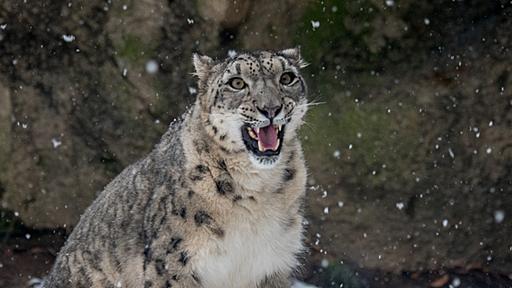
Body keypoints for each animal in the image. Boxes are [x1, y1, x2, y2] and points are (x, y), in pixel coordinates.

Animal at [43, 48, 308, 286]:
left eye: (286, 78)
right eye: (237, 83)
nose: (271, 108)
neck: (259, 189)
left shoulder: (273, 265)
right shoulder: (173, 264)